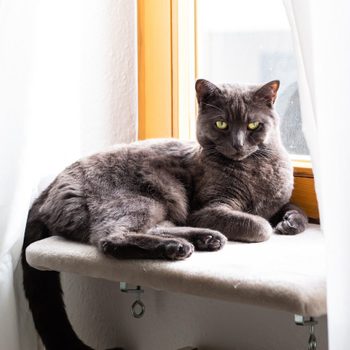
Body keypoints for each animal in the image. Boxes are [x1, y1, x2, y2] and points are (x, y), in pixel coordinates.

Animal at [21, 79, 306, 350]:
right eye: (222, 124)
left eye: (253, 125)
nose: (238, 144)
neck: (253, 169)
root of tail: (50, 188)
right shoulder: (207, 209)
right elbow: (258, 226)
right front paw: (266, 226)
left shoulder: (275, 202)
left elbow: (294, 208)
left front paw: (290, 223)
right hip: (142, 200)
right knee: (111, 238)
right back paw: (177, 247)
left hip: (159, 206)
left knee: (152, 228)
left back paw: (204, 240)